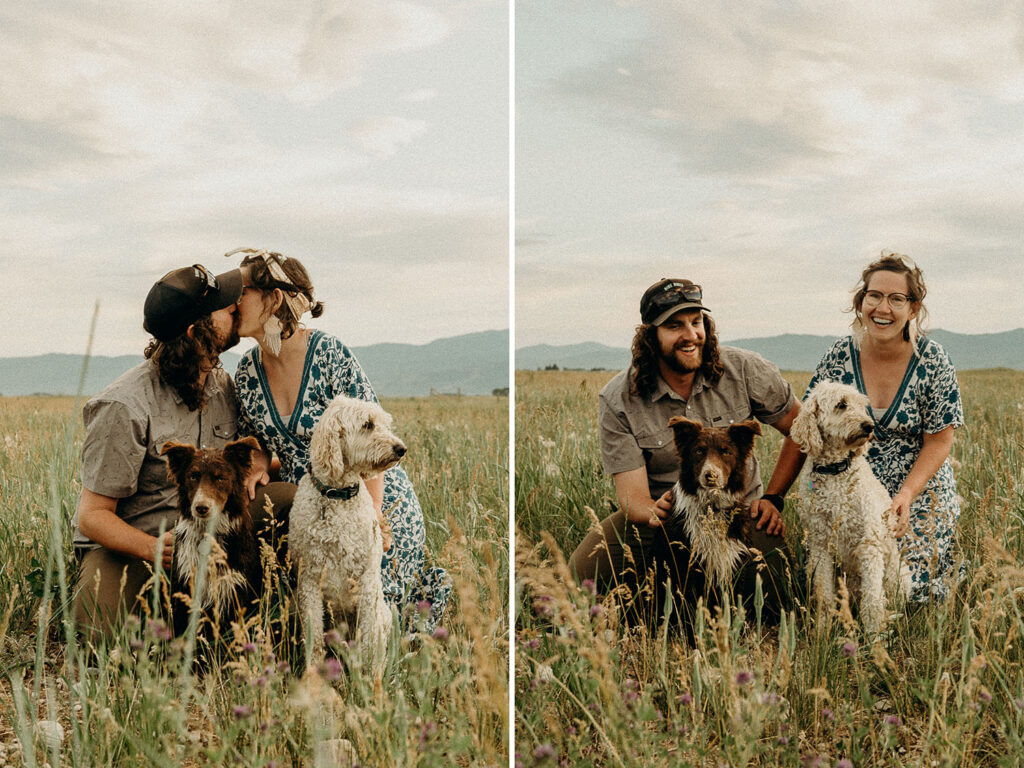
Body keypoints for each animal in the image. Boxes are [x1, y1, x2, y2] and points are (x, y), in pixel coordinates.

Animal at [288, 397, 403, 679]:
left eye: (384, 423)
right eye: (368, 424)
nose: (401, 449)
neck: (337, 496)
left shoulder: (367, 578)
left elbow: (370, 637)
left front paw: (372, 677)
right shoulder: (309, 580)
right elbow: (314, 635)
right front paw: (312, 673)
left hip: (383, 612)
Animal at [786, 382, 909, 634]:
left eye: (862, 405)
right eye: (841, 404)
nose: (869, 426)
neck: (835, 471)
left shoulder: (869, 544)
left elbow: (872, 600)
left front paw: (874, 636)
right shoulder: (821, 544)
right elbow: (824, 595)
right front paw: (822, 631)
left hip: (898, 576)